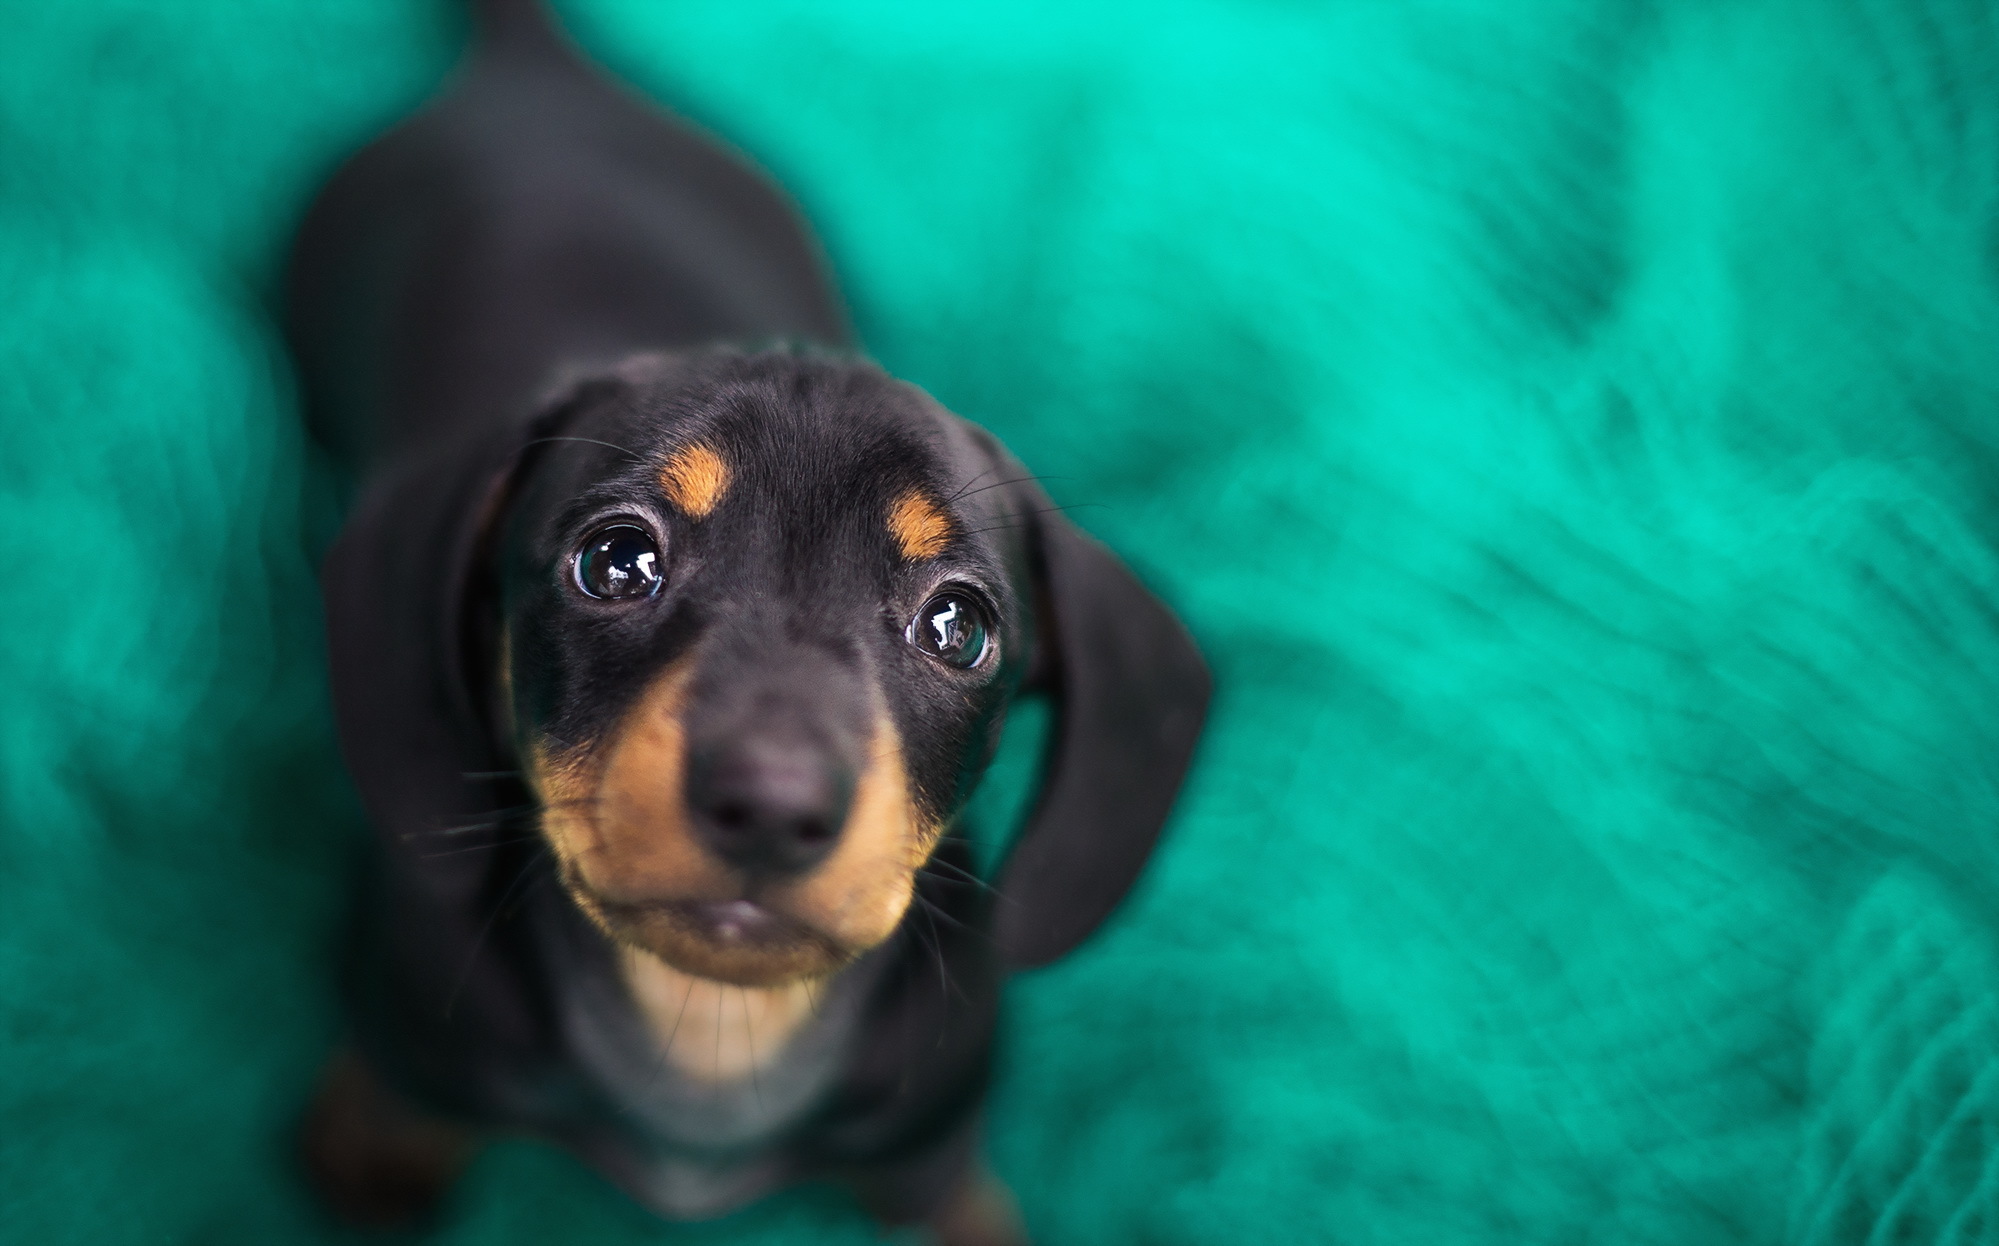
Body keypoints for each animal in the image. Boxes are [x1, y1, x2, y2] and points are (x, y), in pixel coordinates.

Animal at [289, 4, 1207, 1240]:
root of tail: (535, 64)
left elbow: (945, 1190)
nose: (773, 806)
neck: (712, 1042)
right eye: (614, 561)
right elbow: (400, 1085)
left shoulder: (925, 1130)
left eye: (958, 627)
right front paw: (374, 1139)